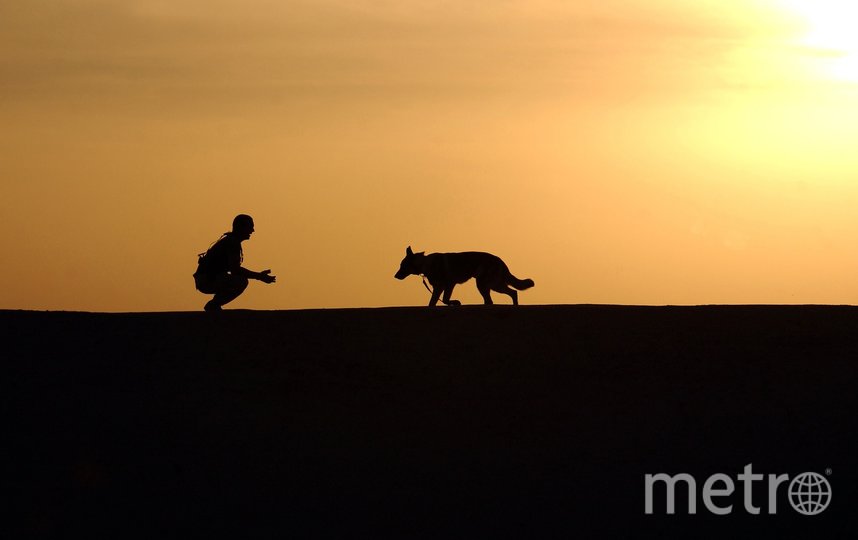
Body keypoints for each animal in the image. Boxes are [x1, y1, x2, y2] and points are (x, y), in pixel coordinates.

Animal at [392, 247, 528, 306]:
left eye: (402, 265)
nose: (395, 276)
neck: (425, 263)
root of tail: (500, 260)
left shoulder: (447, 285)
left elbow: (443, 300)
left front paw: (455, 302)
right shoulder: (441, 287)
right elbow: (434, 302)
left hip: (489, 284)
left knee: (511, 293)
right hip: (488, 285)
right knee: (500, 297)